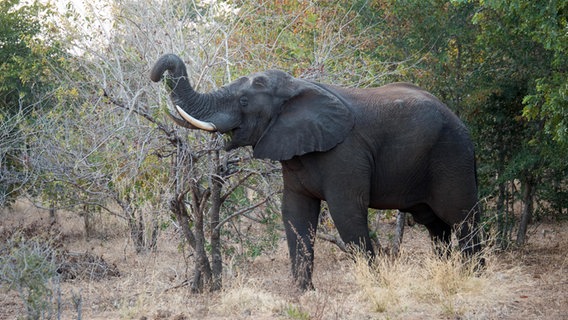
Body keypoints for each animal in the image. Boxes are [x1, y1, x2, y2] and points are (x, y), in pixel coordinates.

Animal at [151, 54, 484, 290]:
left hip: (451, 156)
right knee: (435, 225)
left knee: (462, 217)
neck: (296, 88)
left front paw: (376, 286)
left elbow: (347, 214)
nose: (157, 76)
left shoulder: (345, 153)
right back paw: (448, 272)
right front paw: (303, 292)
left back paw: (474, 276)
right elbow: (294, 213)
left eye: (244, 101)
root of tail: (463, 124)